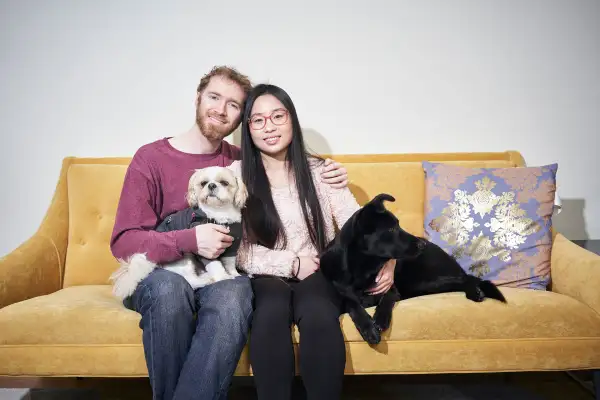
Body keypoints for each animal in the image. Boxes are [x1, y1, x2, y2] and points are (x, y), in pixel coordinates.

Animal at [109, 166, 247, 300]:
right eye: (203, 183)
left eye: (224, 183)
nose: (211, 185)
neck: (219, 215)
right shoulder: (208, 251)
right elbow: (215, 265)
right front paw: (222, 276)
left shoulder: (233, 245)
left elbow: (229, 262)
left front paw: (234, 273)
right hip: (185, 259)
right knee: (190, 281)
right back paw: (206, 279)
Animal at [318, 193, 506, 344]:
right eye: (391, 229)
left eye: (398, 225)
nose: (422, 244)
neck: (364, 268)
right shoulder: (343, 293)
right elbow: (353, 303)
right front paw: (368, 327)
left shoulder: (392, 288)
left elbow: (386, 299)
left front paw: (380, 320)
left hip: (422, 281)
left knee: (465, 279)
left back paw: (475, 292)